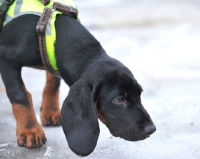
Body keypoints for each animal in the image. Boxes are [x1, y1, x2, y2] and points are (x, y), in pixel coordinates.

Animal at [0, 8, 156, 157]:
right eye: (119, 99)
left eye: (140, 94)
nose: (152, 129)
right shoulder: (6, 59)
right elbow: (19, 95)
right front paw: (30, 130)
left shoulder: (52, 60)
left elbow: (53, 82)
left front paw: (50, 110)